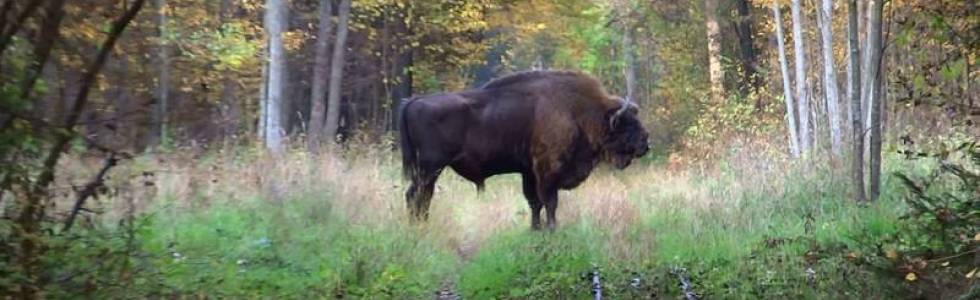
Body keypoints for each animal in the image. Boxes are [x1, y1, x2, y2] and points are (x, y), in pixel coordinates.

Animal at [398, 70, 652, 230]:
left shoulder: (529, 171)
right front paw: (552, 228)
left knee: (419, 196)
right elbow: (549, 201)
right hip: (430, 168)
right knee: (418, 195)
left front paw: (535, 229)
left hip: (426, 170)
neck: (578, 111)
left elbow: (534, 202)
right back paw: (419, 226)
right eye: (628, 123)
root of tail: (413, 101)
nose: (646, 143)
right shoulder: (547, 170)